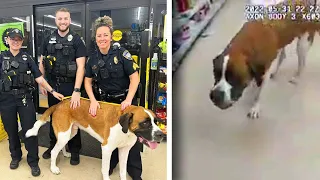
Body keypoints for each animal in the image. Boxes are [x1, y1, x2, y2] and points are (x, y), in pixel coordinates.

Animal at [25, 97, 165, 180]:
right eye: (145, 123)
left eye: (156, 121)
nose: (162, 135)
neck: (126, 130)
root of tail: (60, 103)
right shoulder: (106, 149)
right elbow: (105, 169)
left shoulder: (124, 150)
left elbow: (123, 170)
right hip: (64, 134)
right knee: (54, 151)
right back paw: (54, 168)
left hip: (70, 133)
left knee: (60, 146)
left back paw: (65, 154)